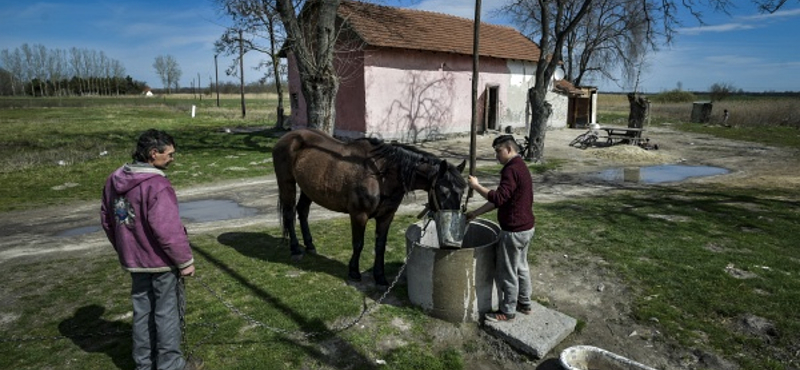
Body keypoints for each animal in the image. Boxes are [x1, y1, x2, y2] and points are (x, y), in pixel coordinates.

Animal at [272, 129, 466, 286]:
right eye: (443, 192)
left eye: (463, 191)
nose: (451, 242)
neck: (381, 175)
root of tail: (287, 138)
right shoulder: (359, 215)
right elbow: (358, 244)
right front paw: (354, 272)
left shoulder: (386, 216)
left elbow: (380, 245)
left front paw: (379, 277)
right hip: (287, 183)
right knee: (289, 214)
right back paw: (295, 249)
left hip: (308, 189)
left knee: (302, 211)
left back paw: (310, 245)